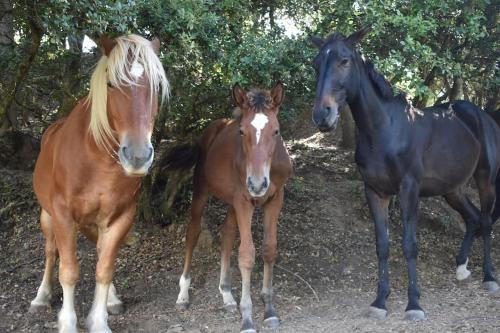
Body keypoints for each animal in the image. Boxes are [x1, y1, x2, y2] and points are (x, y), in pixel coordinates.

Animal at [29, 34, 170, 332]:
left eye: (155, 87)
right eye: (111, 84)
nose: (138, 156)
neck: (95, 159)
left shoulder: (120, 217)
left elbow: (104, 268)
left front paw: (98, 320)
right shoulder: (62, 215)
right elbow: (69, 271)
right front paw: (68, 323)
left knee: (97, 248)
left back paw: (112, 299)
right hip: (47, 216)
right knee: (50, 251)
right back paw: (41, 297)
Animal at [164, 83, 292, 332]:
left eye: (276, 131)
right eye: (241, 131)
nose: (257, 184)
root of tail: (216, 125)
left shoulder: (275, 199)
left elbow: (269, 248)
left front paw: (269, 309)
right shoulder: (244, 200)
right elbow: (247, 255)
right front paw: (247, 318)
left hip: (234, 202)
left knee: (227, 234)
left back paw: (227, 295)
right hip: (203, 191)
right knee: (192, 233)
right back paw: (183, 295)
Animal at [310, 27, 500, 320]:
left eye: (344, 60)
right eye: (316, 64)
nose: (322, 115)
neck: (384, 130)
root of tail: (484, 117)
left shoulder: (408, 190)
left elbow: (409, 245)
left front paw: (414, 304)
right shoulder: (374, 192)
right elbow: (382, 245)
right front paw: (380, 301)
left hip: (485, 181)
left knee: (487, 222)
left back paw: (489, 277)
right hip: (452, 189)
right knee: (473, 217)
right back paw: (461, 267)